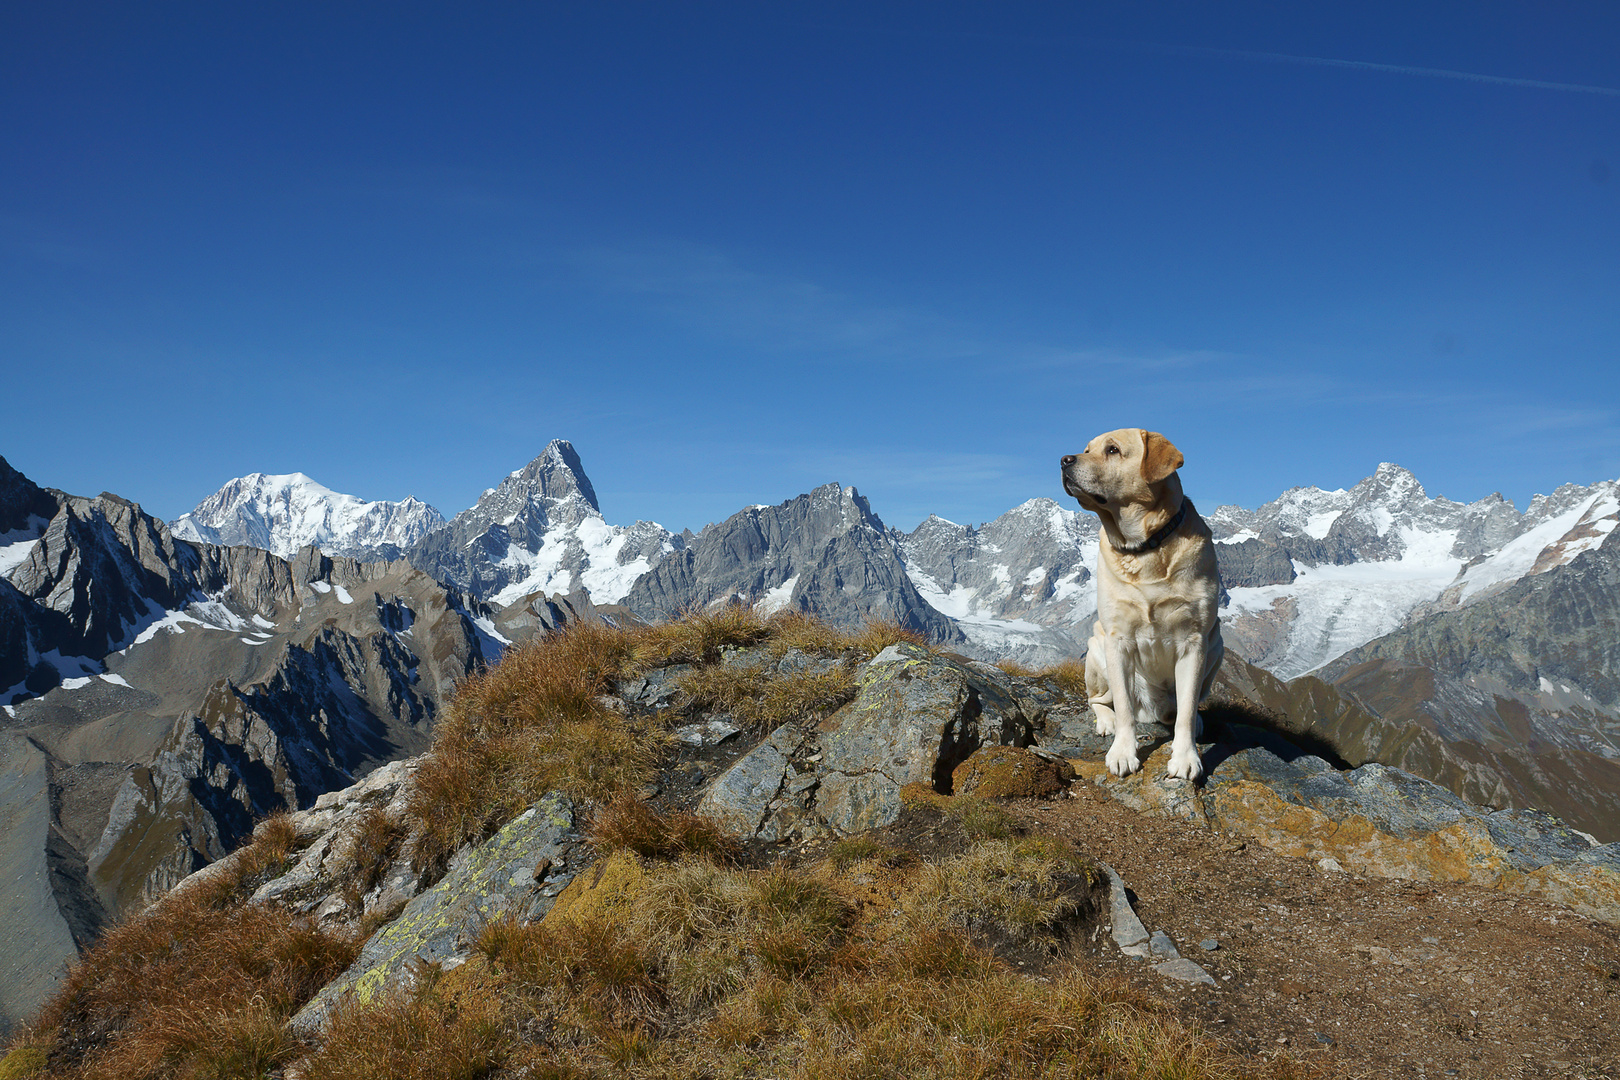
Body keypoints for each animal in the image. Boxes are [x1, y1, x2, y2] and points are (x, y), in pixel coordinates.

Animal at [1056, 427, 1218, 780]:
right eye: (1086, 449)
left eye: (1112, 450)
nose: (1064, 459)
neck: (1145, 547)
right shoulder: (1118, 641)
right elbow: (1124, 707)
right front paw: (1122, 753)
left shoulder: (1194, 641)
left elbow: (1187, 710)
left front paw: (1186, 757)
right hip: (1096, 650)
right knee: (1100, 700)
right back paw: (1107, 722)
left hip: (1217, 646)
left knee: (1187, 704)